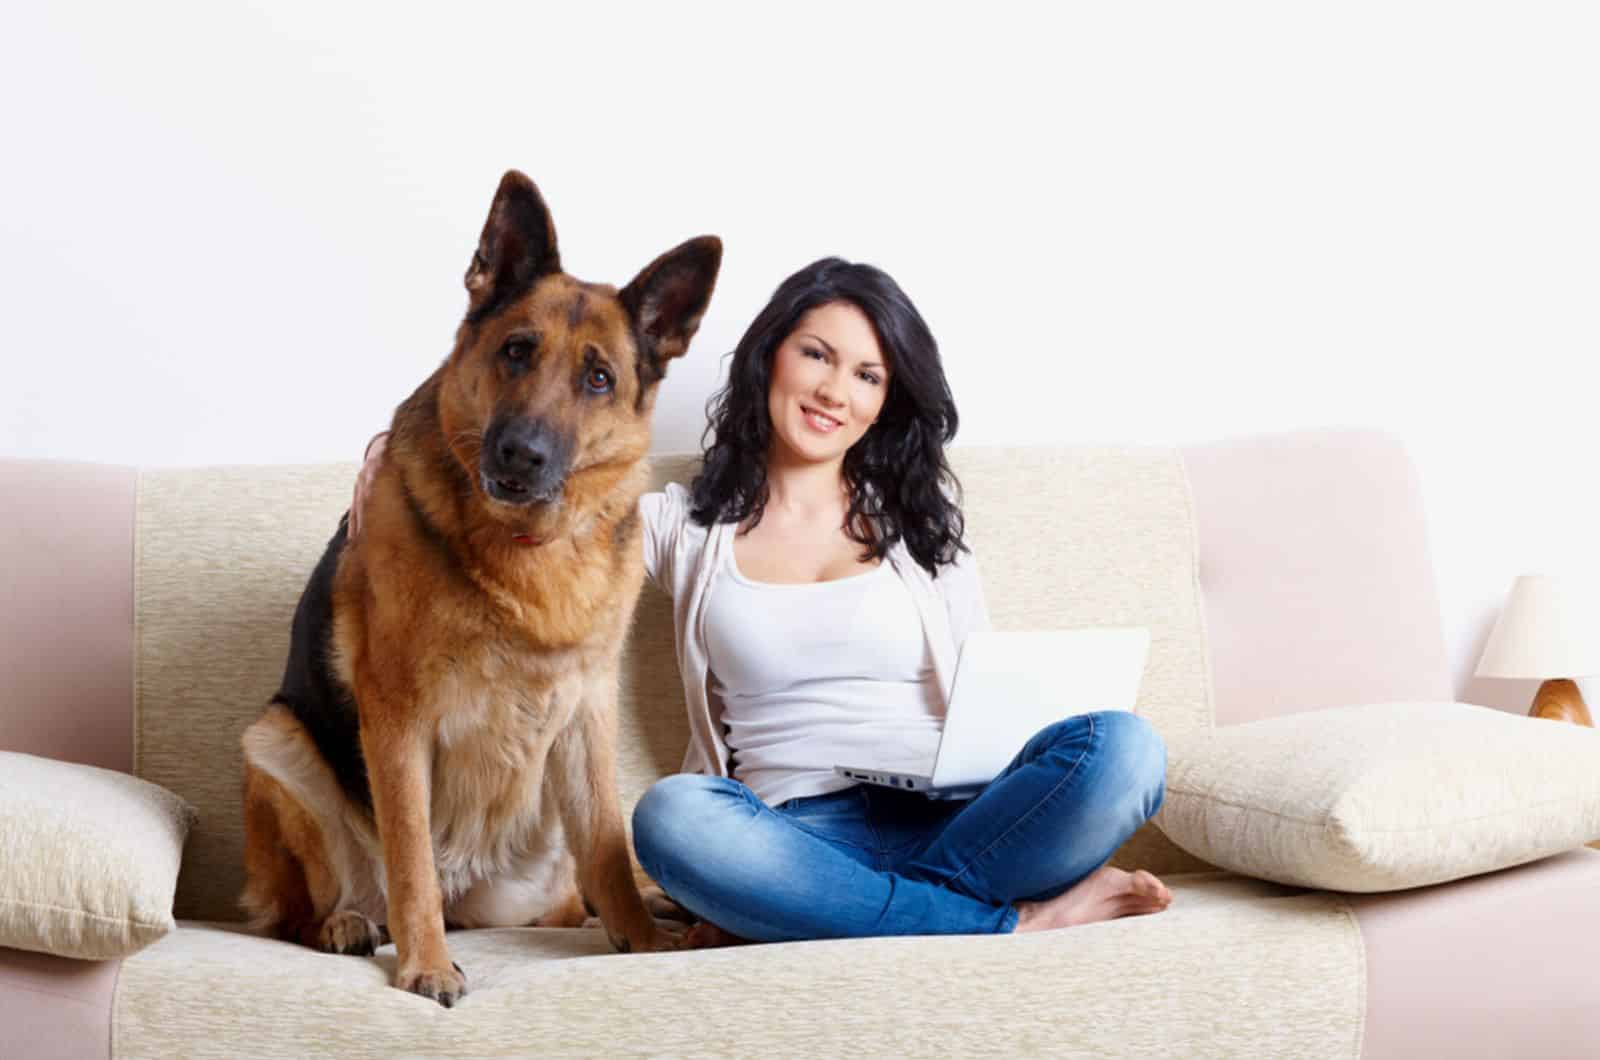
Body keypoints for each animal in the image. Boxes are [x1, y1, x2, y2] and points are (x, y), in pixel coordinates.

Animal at [236, 170, 720, 1011]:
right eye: (516, 351)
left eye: (599, 378)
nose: (520, 455)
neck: (527, 551)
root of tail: (473, 899)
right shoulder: (397, 720)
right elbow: (410, 862)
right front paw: (425, 966)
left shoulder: (589, 712)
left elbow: (608, 842)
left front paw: (642, 938)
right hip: (274, 745)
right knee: (310, 906)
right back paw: (345, 923)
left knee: (575, 891)